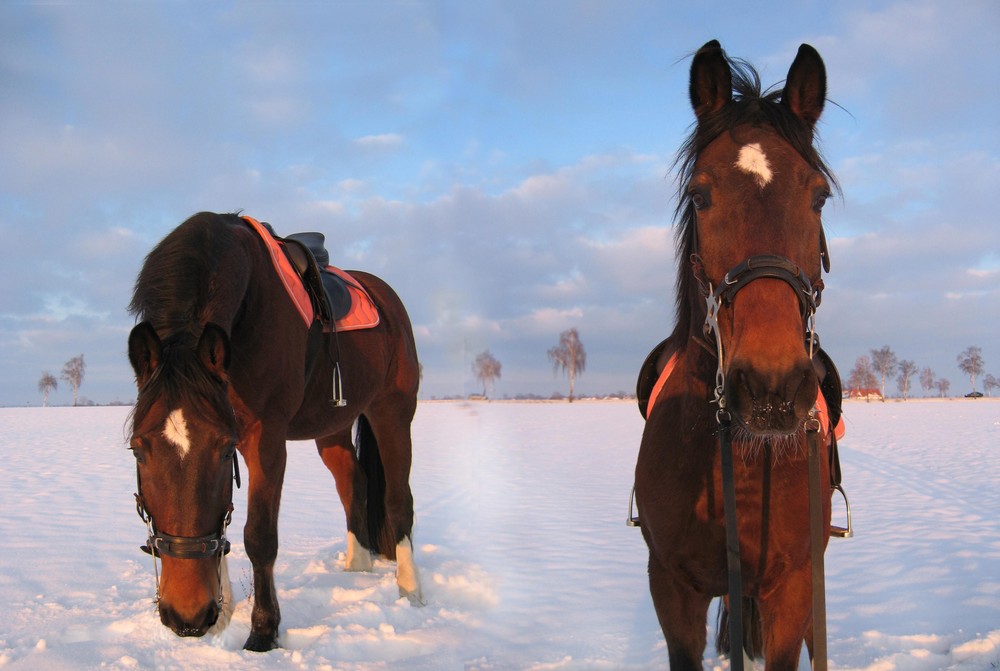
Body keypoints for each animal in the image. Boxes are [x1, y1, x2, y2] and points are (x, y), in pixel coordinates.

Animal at [126, 213, 422, 652]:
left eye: (223, 449)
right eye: (137, 450)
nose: (187, 615)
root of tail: (386, 297)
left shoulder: (264, 438)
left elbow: (259, 536)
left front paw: (263, 631)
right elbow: (222, 525)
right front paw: (222, 613)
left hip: (393, 411)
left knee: (399, 499)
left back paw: (411, 591)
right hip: (332, 427)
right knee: (353, 482)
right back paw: (357, 568)